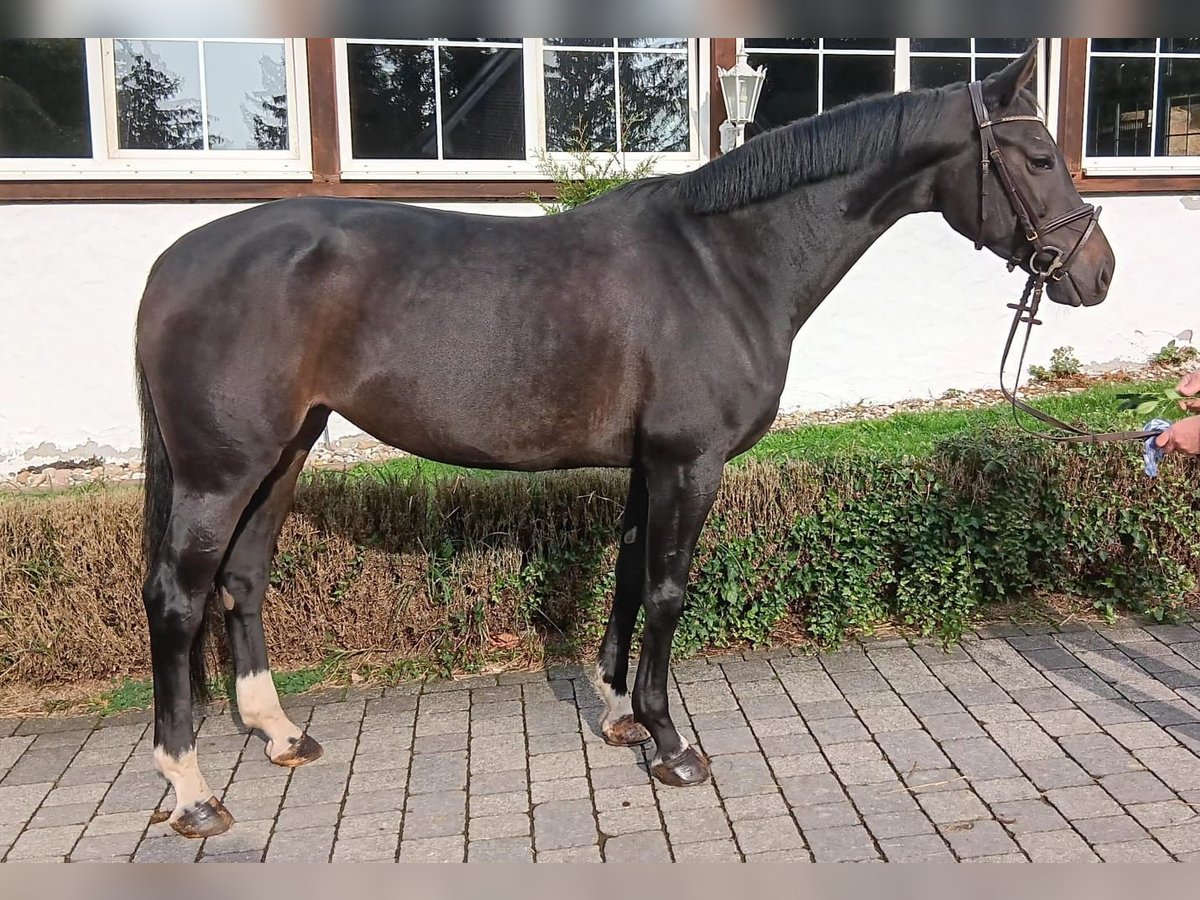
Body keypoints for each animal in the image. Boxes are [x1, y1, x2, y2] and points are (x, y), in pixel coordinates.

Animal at [133, 47, 1113, 840]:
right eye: (1036, 156)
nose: (1096, 273)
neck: (723, 263)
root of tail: (172, 263)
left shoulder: (652, 465)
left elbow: (630, 577)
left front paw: (618, 715)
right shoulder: (691, 463)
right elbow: (671, 593)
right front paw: (671, 742)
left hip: (284, 454)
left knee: (243, 579)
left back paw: (279, 734)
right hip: (222, 472)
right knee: (177, 598)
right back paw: (191, 791)